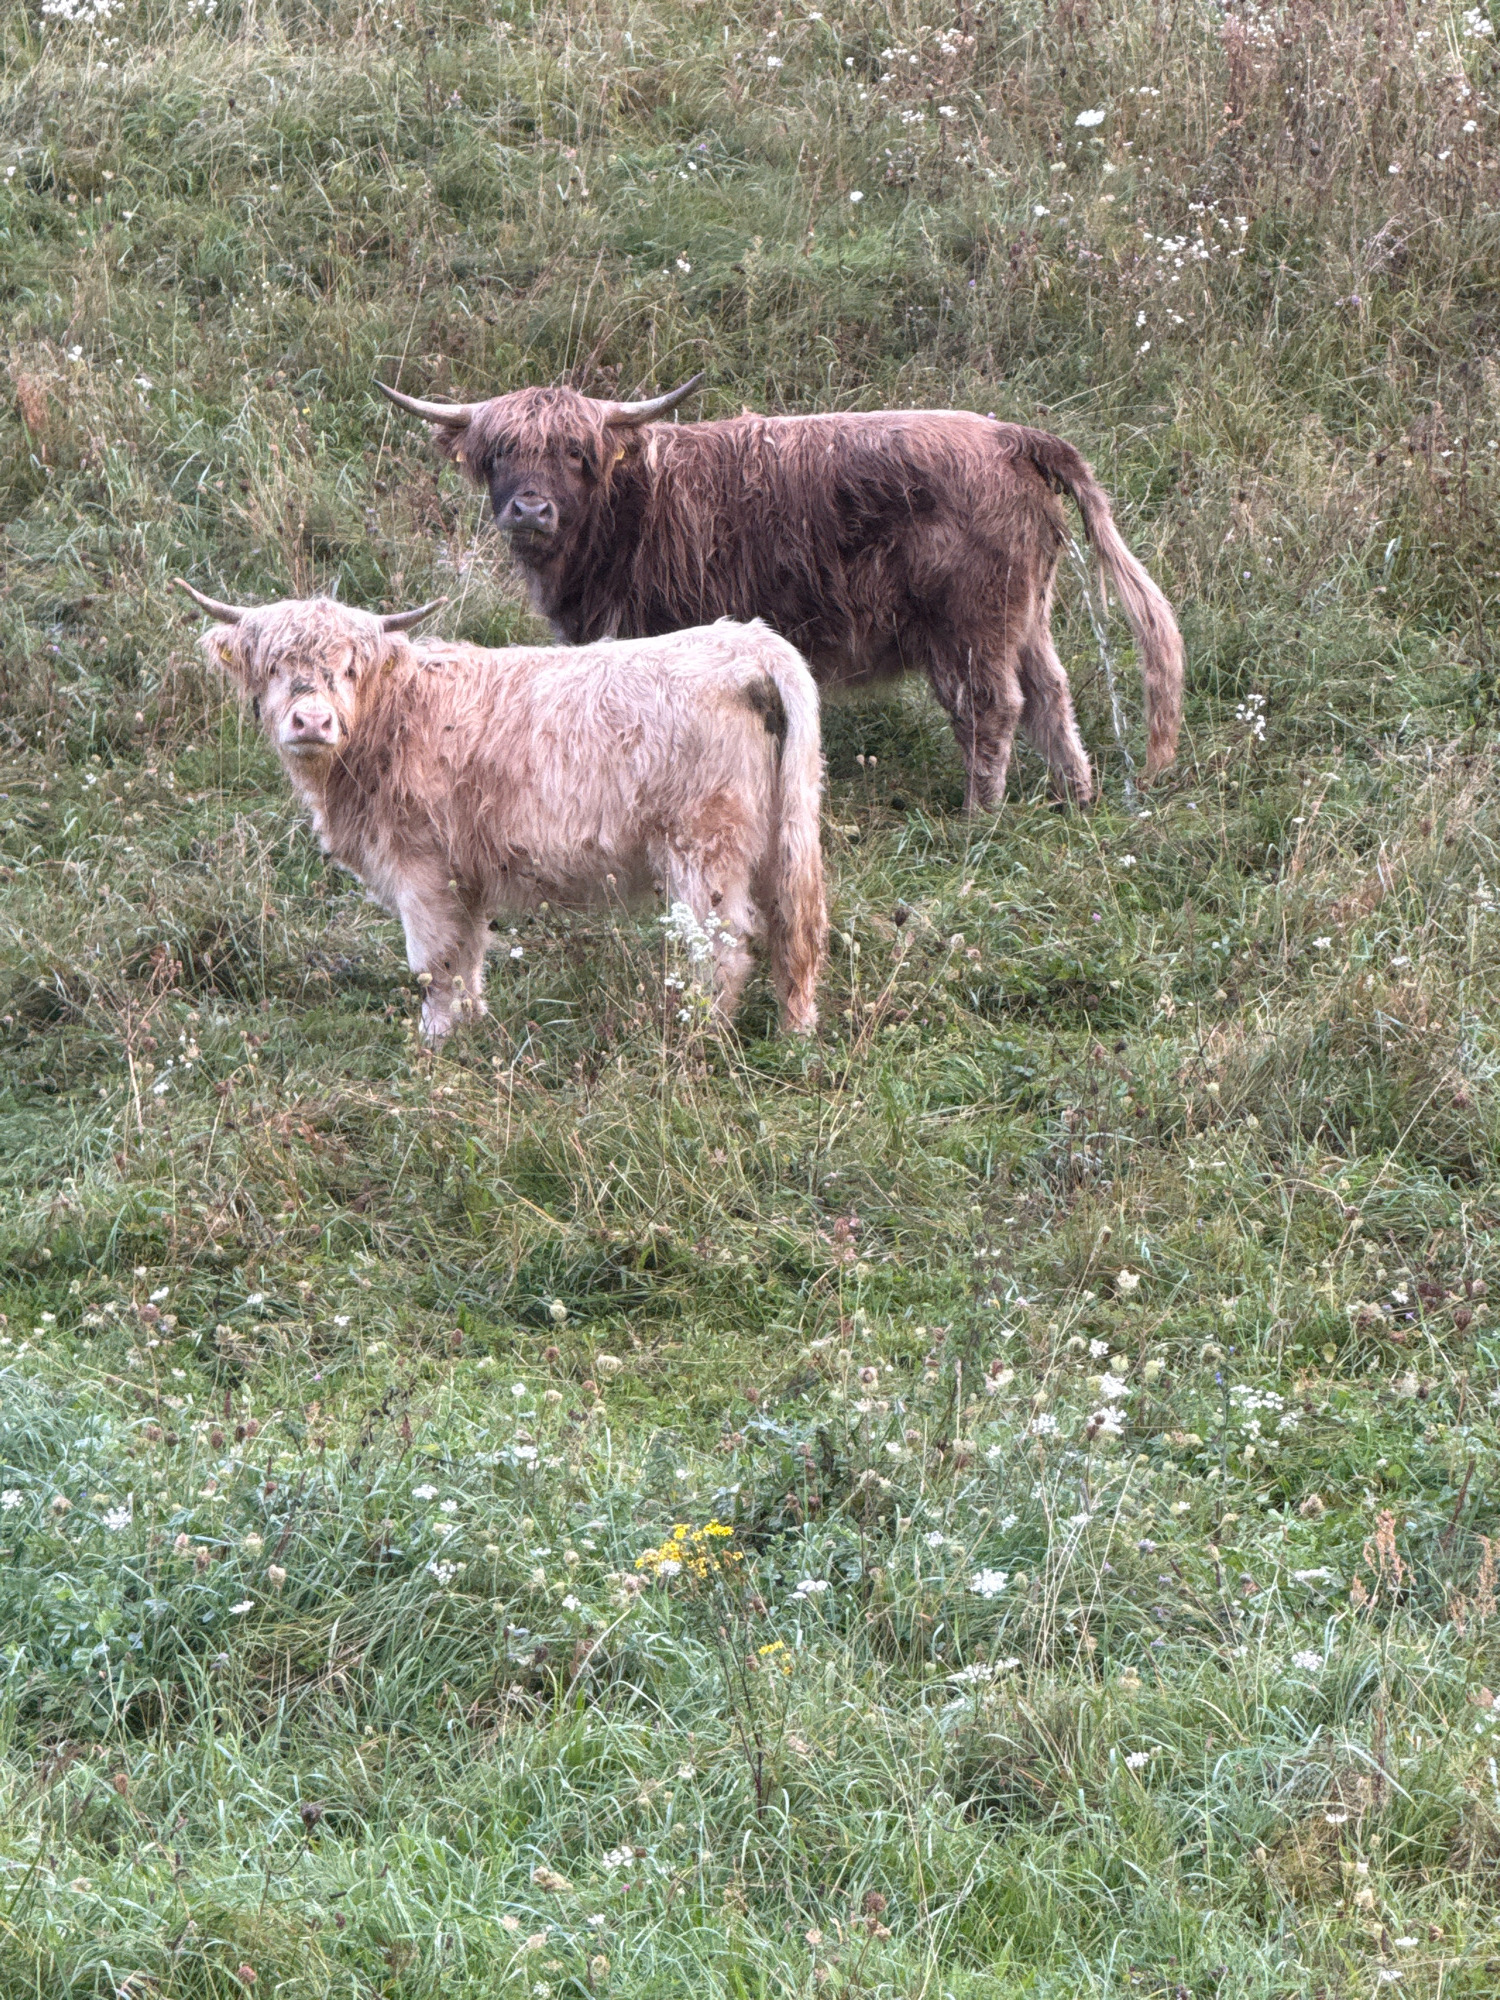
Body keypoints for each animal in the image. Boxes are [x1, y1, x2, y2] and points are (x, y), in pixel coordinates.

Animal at [174, 583, 827, 1041]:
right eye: (274, 667)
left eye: (350, 668)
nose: (311, 721)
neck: (393, 722)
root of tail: (747, 642)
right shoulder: (464, 876)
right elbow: (466, 957)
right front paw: (471, 1026)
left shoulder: (421, 869)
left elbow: (434, 962)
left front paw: (434, 1042)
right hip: (783, 831)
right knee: (794, 929)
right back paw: (795, 1031)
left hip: (702, 846)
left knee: (724, 946)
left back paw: (699, 1035)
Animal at [376, 375, 1184, 812]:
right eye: (497, 455)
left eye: (575, 453)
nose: (530, 509)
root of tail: (1011, 437)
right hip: (1026, 615)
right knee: (1050, 692)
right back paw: (1075, 797)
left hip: (972, 622)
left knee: (994, 706)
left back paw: (977, 814)